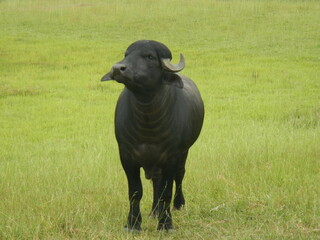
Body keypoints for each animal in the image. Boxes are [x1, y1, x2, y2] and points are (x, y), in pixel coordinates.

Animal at [101, 40, 204, 232]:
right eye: (126, 54)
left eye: (149, 56)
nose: (118, 68)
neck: (148, 123)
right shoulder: (126, 157)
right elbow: (135, 192)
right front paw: (133, 224)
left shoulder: (171, 157)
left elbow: (166, 192)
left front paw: (165, 224)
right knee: (156, 180)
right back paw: (154, 211)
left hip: (184, 152)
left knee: (180, 175)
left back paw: (178, 204)